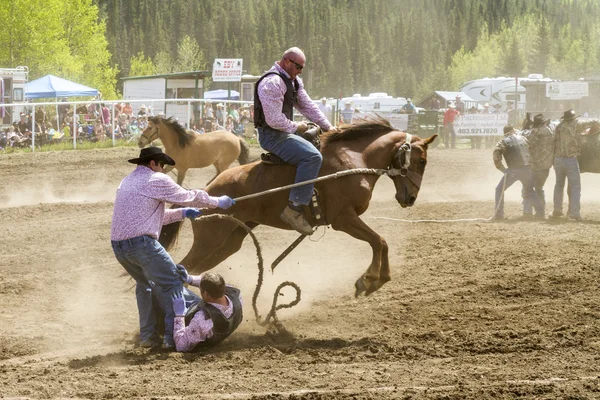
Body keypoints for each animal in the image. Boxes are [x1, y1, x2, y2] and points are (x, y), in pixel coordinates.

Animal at [162, 116, 438, 296]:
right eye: (422, 160)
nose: (410, 198)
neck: (356, 160)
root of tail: (204, 192)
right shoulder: (343, 218)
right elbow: (378, 241)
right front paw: (369, 280)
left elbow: (381, 242)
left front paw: (376, 279)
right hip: (209, 239)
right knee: (184, 267)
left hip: (228, 242)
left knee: (194, 270)